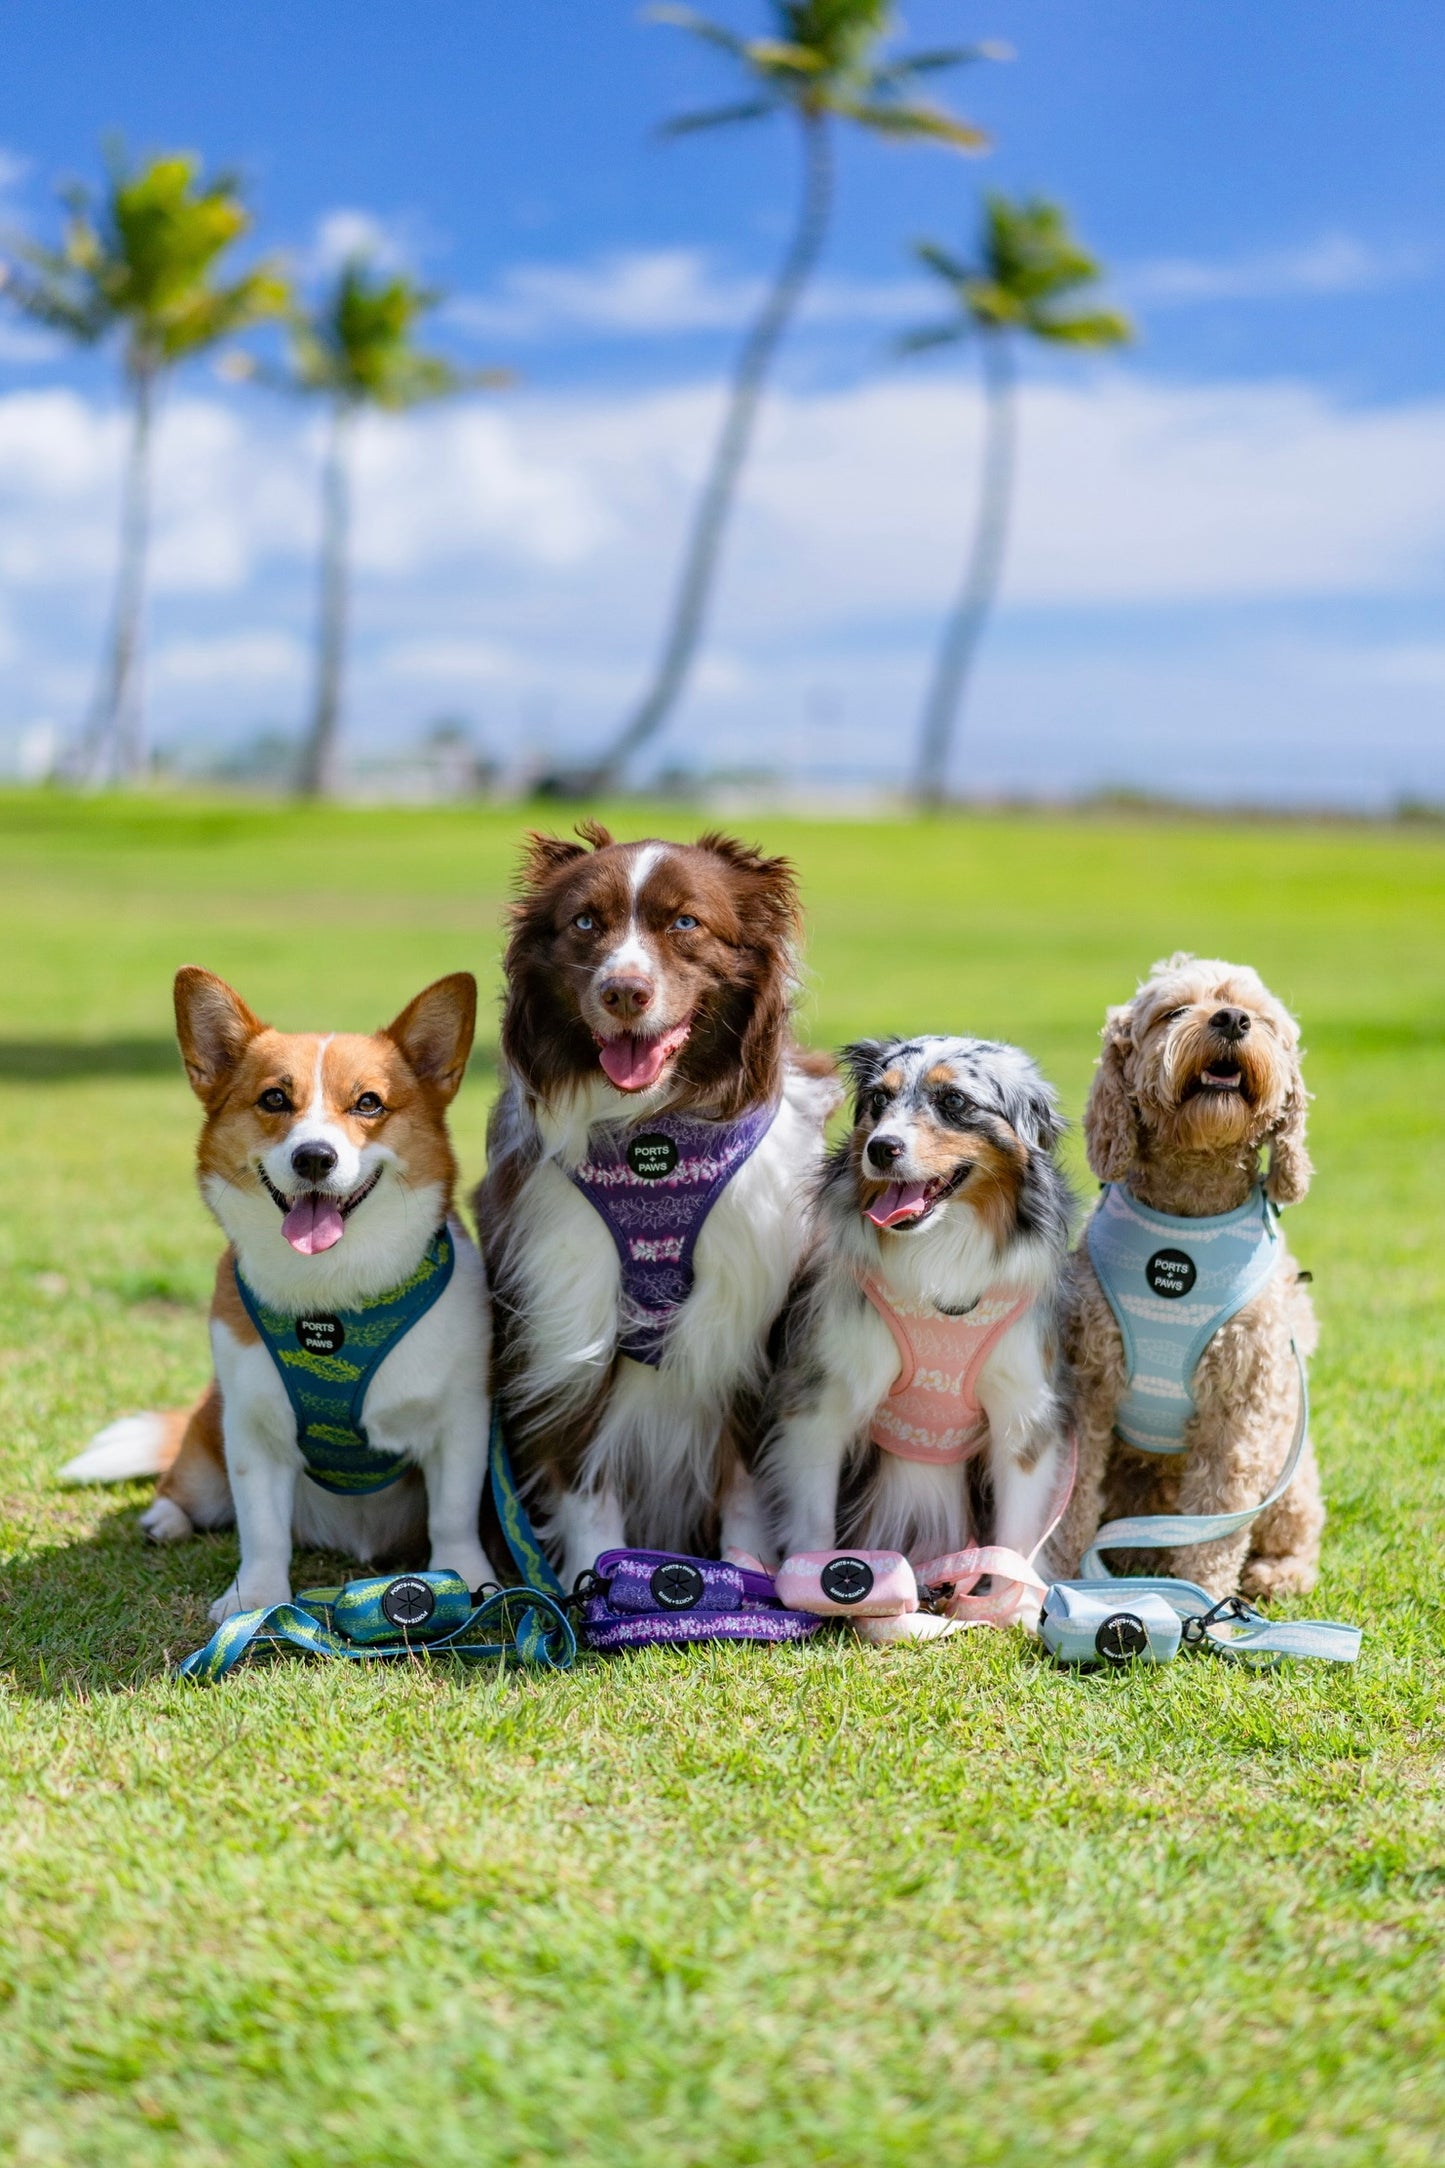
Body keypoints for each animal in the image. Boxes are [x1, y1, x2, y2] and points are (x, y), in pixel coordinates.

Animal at [63, 975, 498, 1621]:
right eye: (273, 1099)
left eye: (369, 1103)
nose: (314, 1157)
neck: (331, 1289)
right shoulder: (251, 1428)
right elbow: (262, 1529)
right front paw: (256, 1600)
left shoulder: (462, 1420)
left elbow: (453, 1517)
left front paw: (467, 1579)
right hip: (207, 1444)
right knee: (184, 1487)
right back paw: (164, 1520)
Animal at [476, 819, 836, 1586]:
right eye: (586, 922)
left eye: (686, 924)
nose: (623, 992)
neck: (654, 1127)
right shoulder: (566, 1315)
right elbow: (583, 1477)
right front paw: (595, 1582)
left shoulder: (748, 1321)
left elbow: (745, 1482)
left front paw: (744, 1575)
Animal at [1052, 958, 1325, 1604]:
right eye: (1173, 1011)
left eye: (1262, 1018)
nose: (1230, 1019)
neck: (1188, 1208)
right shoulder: (1088, 1386)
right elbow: (1073, 1502)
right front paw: (1058, 1578)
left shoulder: (1239, 1407)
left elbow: (1215, 1524)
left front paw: (1204, 1601)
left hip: (1290, 1465)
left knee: (1293, 1531)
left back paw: (1276, 1574)